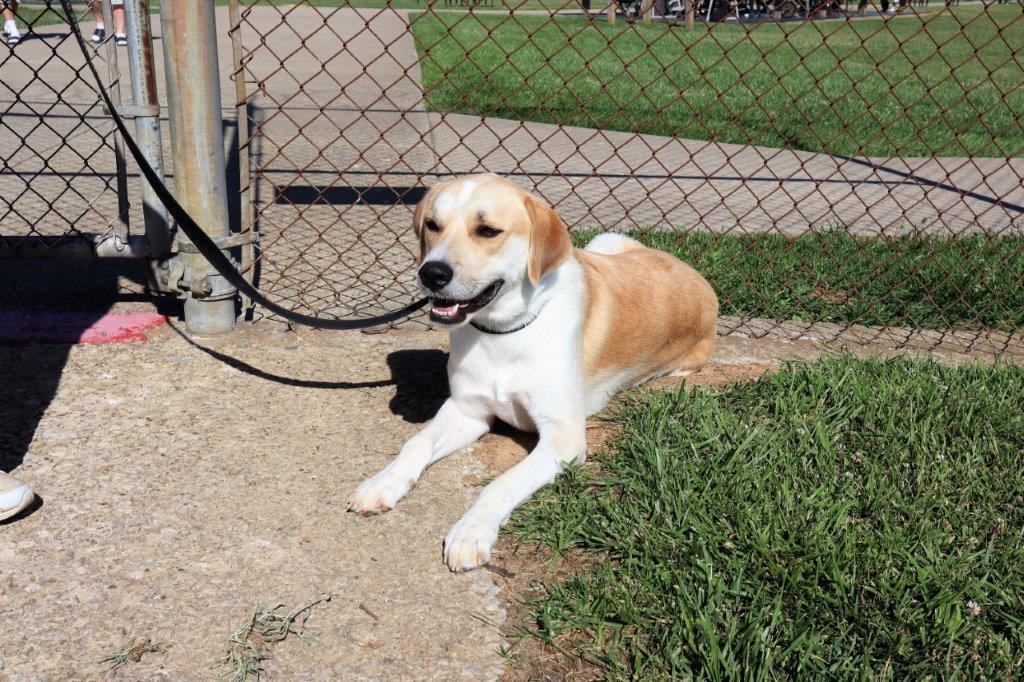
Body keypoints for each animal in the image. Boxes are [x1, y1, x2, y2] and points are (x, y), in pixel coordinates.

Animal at [348, 174, 716, 569]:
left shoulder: (564, 438)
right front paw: (382, 482)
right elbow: (416, 443)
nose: (431, 273)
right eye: (432, 225)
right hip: (605, 242)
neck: (504, 332)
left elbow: (501, 482)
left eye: (488, 230)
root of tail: (694, 273)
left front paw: (471, 530)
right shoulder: (467, 411)